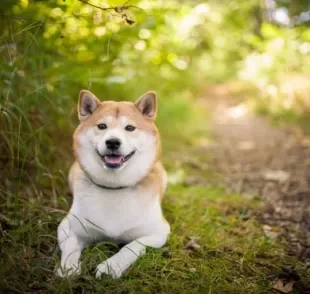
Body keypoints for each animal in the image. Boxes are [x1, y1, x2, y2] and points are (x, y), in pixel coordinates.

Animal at [57, 90, 171, 280]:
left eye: (130, 128)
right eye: (102, 126)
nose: (112, 142)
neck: (114, 187)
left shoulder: (158, 232)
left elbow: (131, 246)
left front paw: (111, 266)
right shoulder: (68, 227)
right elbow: (71, 246)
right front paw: (68, 267)